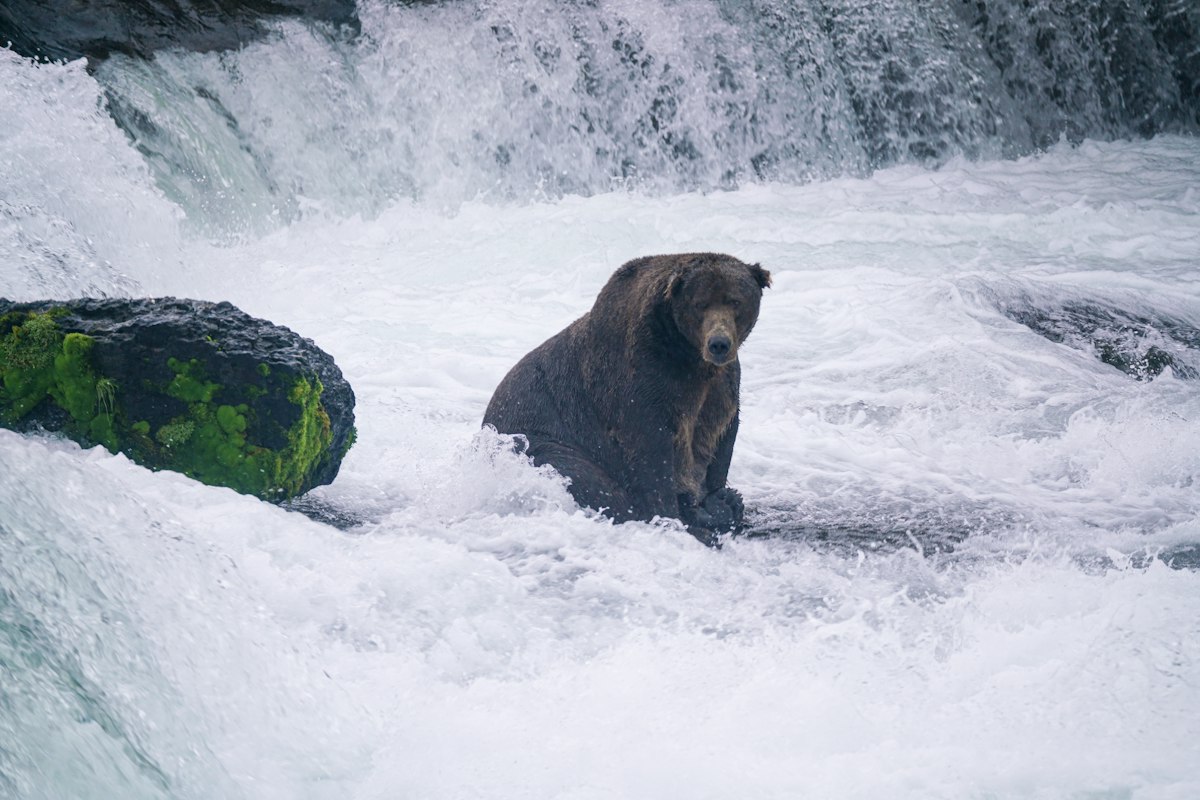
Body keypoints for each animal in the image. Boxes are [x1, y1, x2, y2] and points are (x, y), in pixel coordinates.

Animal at [483, 252, 770, 545]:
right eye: (700, 304)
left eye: (735, 301)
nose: (719, 343)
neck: (688, 355)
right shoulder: (641, 380)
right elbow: (650, 452)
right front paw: (682, 519)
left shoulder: (720, 389)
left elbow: (721, 437)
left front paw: (717, 500)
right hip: (541, 438)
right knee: (584, 477)